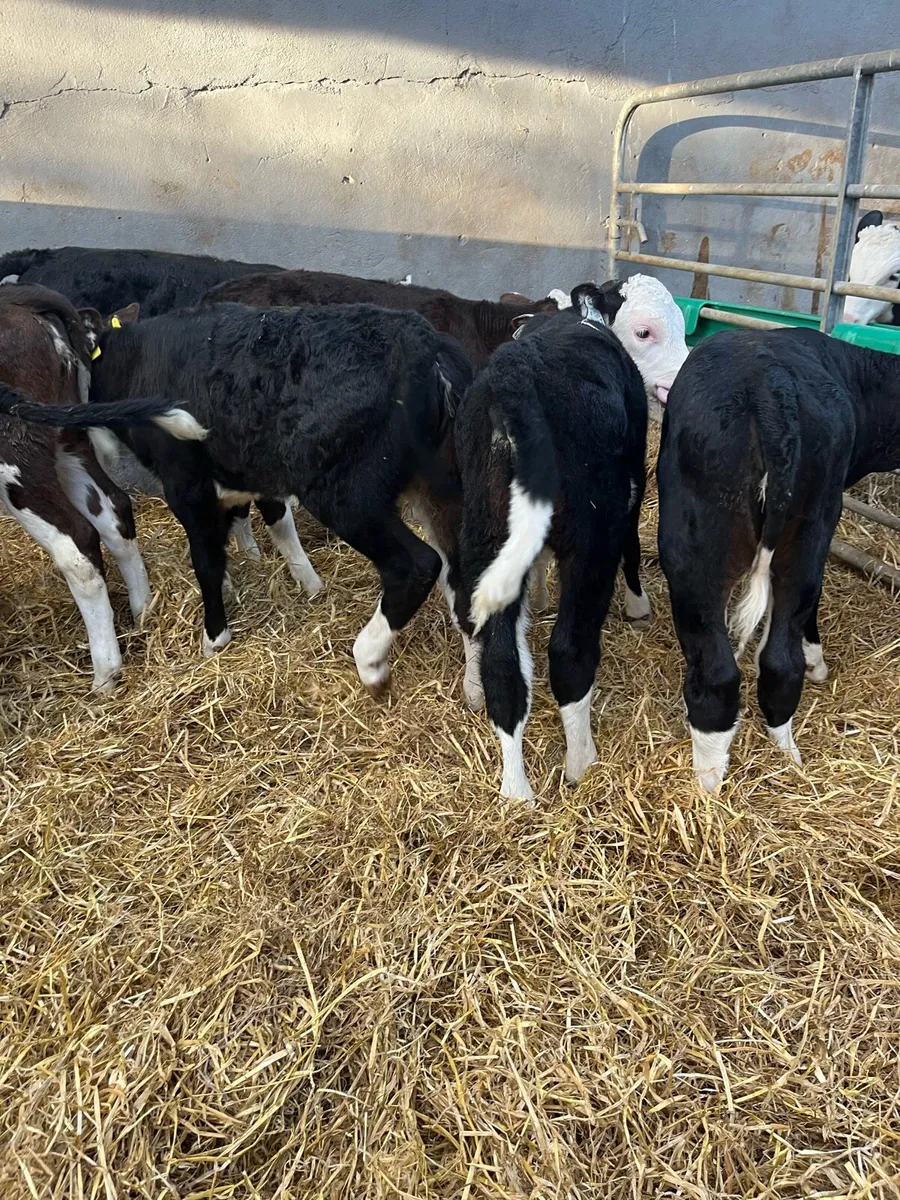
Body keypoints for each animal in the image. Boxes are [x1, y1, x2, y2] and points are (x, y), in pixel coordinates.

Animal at [0, 284, 205, 690]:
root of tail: (21, 296)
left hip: (15, 457)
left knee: (76, 544)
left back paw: (105, 675)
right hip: (68, 438)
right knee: (114, 511)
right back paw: (144, 614)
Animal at [85, 301, 472, 680]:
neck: (138, 360)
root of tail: (427, 350)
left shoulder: (187, 484)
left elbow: (207, 560)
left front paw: (215, 637)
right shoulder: (245, 474)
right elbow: (272, 522)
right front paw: (304, 584)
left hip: (347, 496)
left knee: (415, 565)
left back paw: (369, 659)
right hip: (443, 490)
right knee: (464, 574)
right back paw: (473, 685)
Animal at [656, 326, 900, 791]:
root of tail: (772, 388)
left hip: (694, 553)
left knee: (721, 675)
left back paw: (711, 783)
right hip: (807, 530)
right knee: (779, 661)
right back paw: (783, 757)